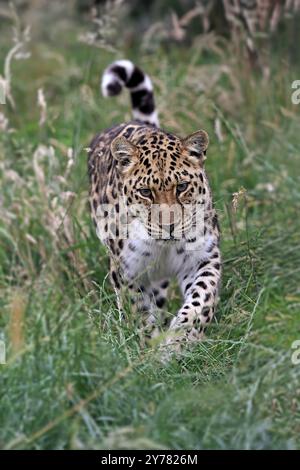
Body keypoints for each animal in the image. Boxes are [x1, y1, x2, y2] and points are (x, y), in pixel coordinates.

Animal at [88, 57, 221, 352]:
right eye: (145, 192)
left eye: (181, 187)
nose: (169, 226)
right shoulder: (128, 272)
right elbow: (137, 311)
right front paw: (148, 347)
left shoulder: (203, 258)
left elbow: (200, 300)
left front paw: (181, 339)